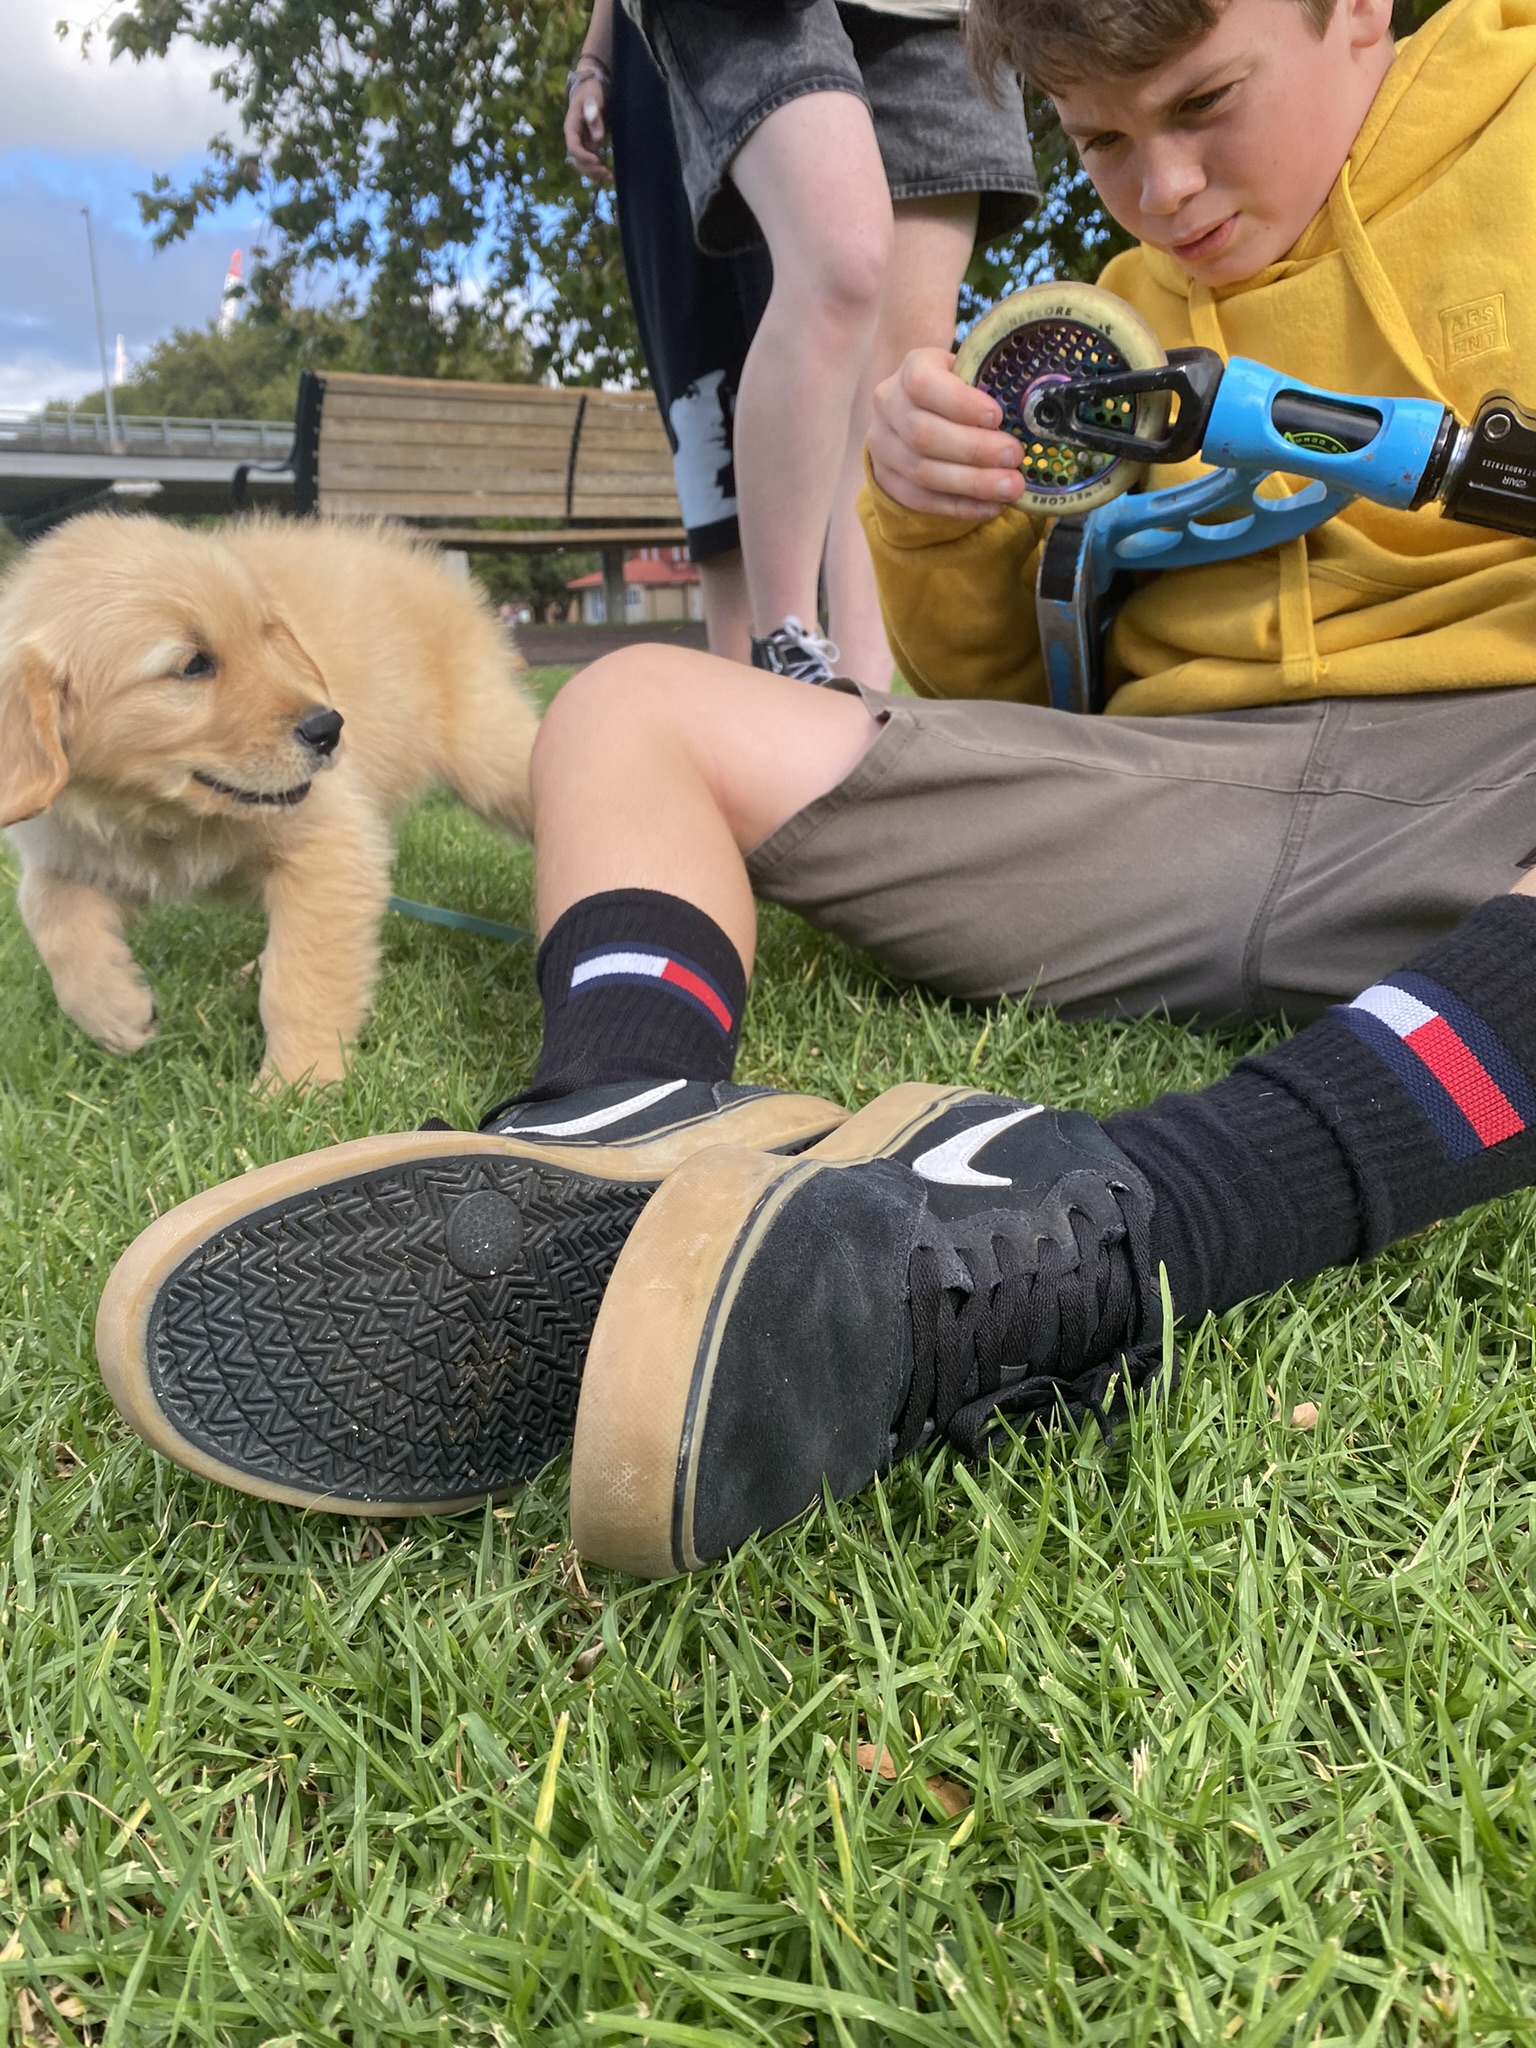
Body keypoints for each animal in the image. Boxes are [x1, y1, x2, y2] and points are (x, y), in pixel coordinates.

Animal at [0, 512, 540, 1089]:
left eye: (268, 637)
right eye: (193, 665)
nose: (329, 728)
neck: (165, 813)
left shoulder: (332, 842)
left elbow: (302, 977)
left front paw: (298, 1084)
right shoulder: (92, 850)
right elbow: (43, 904)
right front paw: (114, 1010)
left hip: (488, 754)